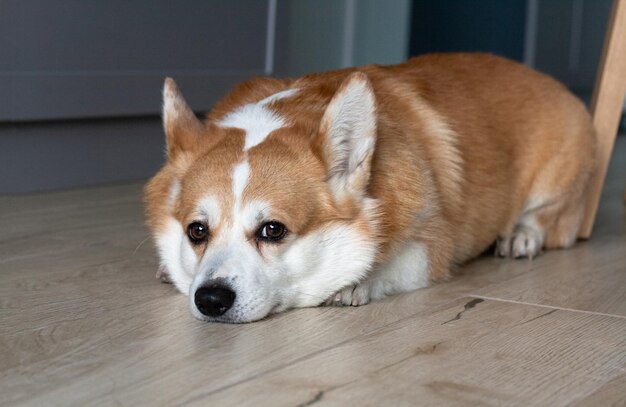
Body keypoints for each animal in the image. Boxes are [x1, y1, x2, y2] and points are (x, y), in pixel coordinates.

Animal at [143, 52, 596, 324]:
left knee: (545, 218)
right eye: (196, 231)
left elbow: (389, 265)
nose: (210, 300)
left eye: (273, 230)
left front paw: (353, 283)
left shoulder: (431, 246)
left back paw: (520, 237)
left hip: (556, 182)